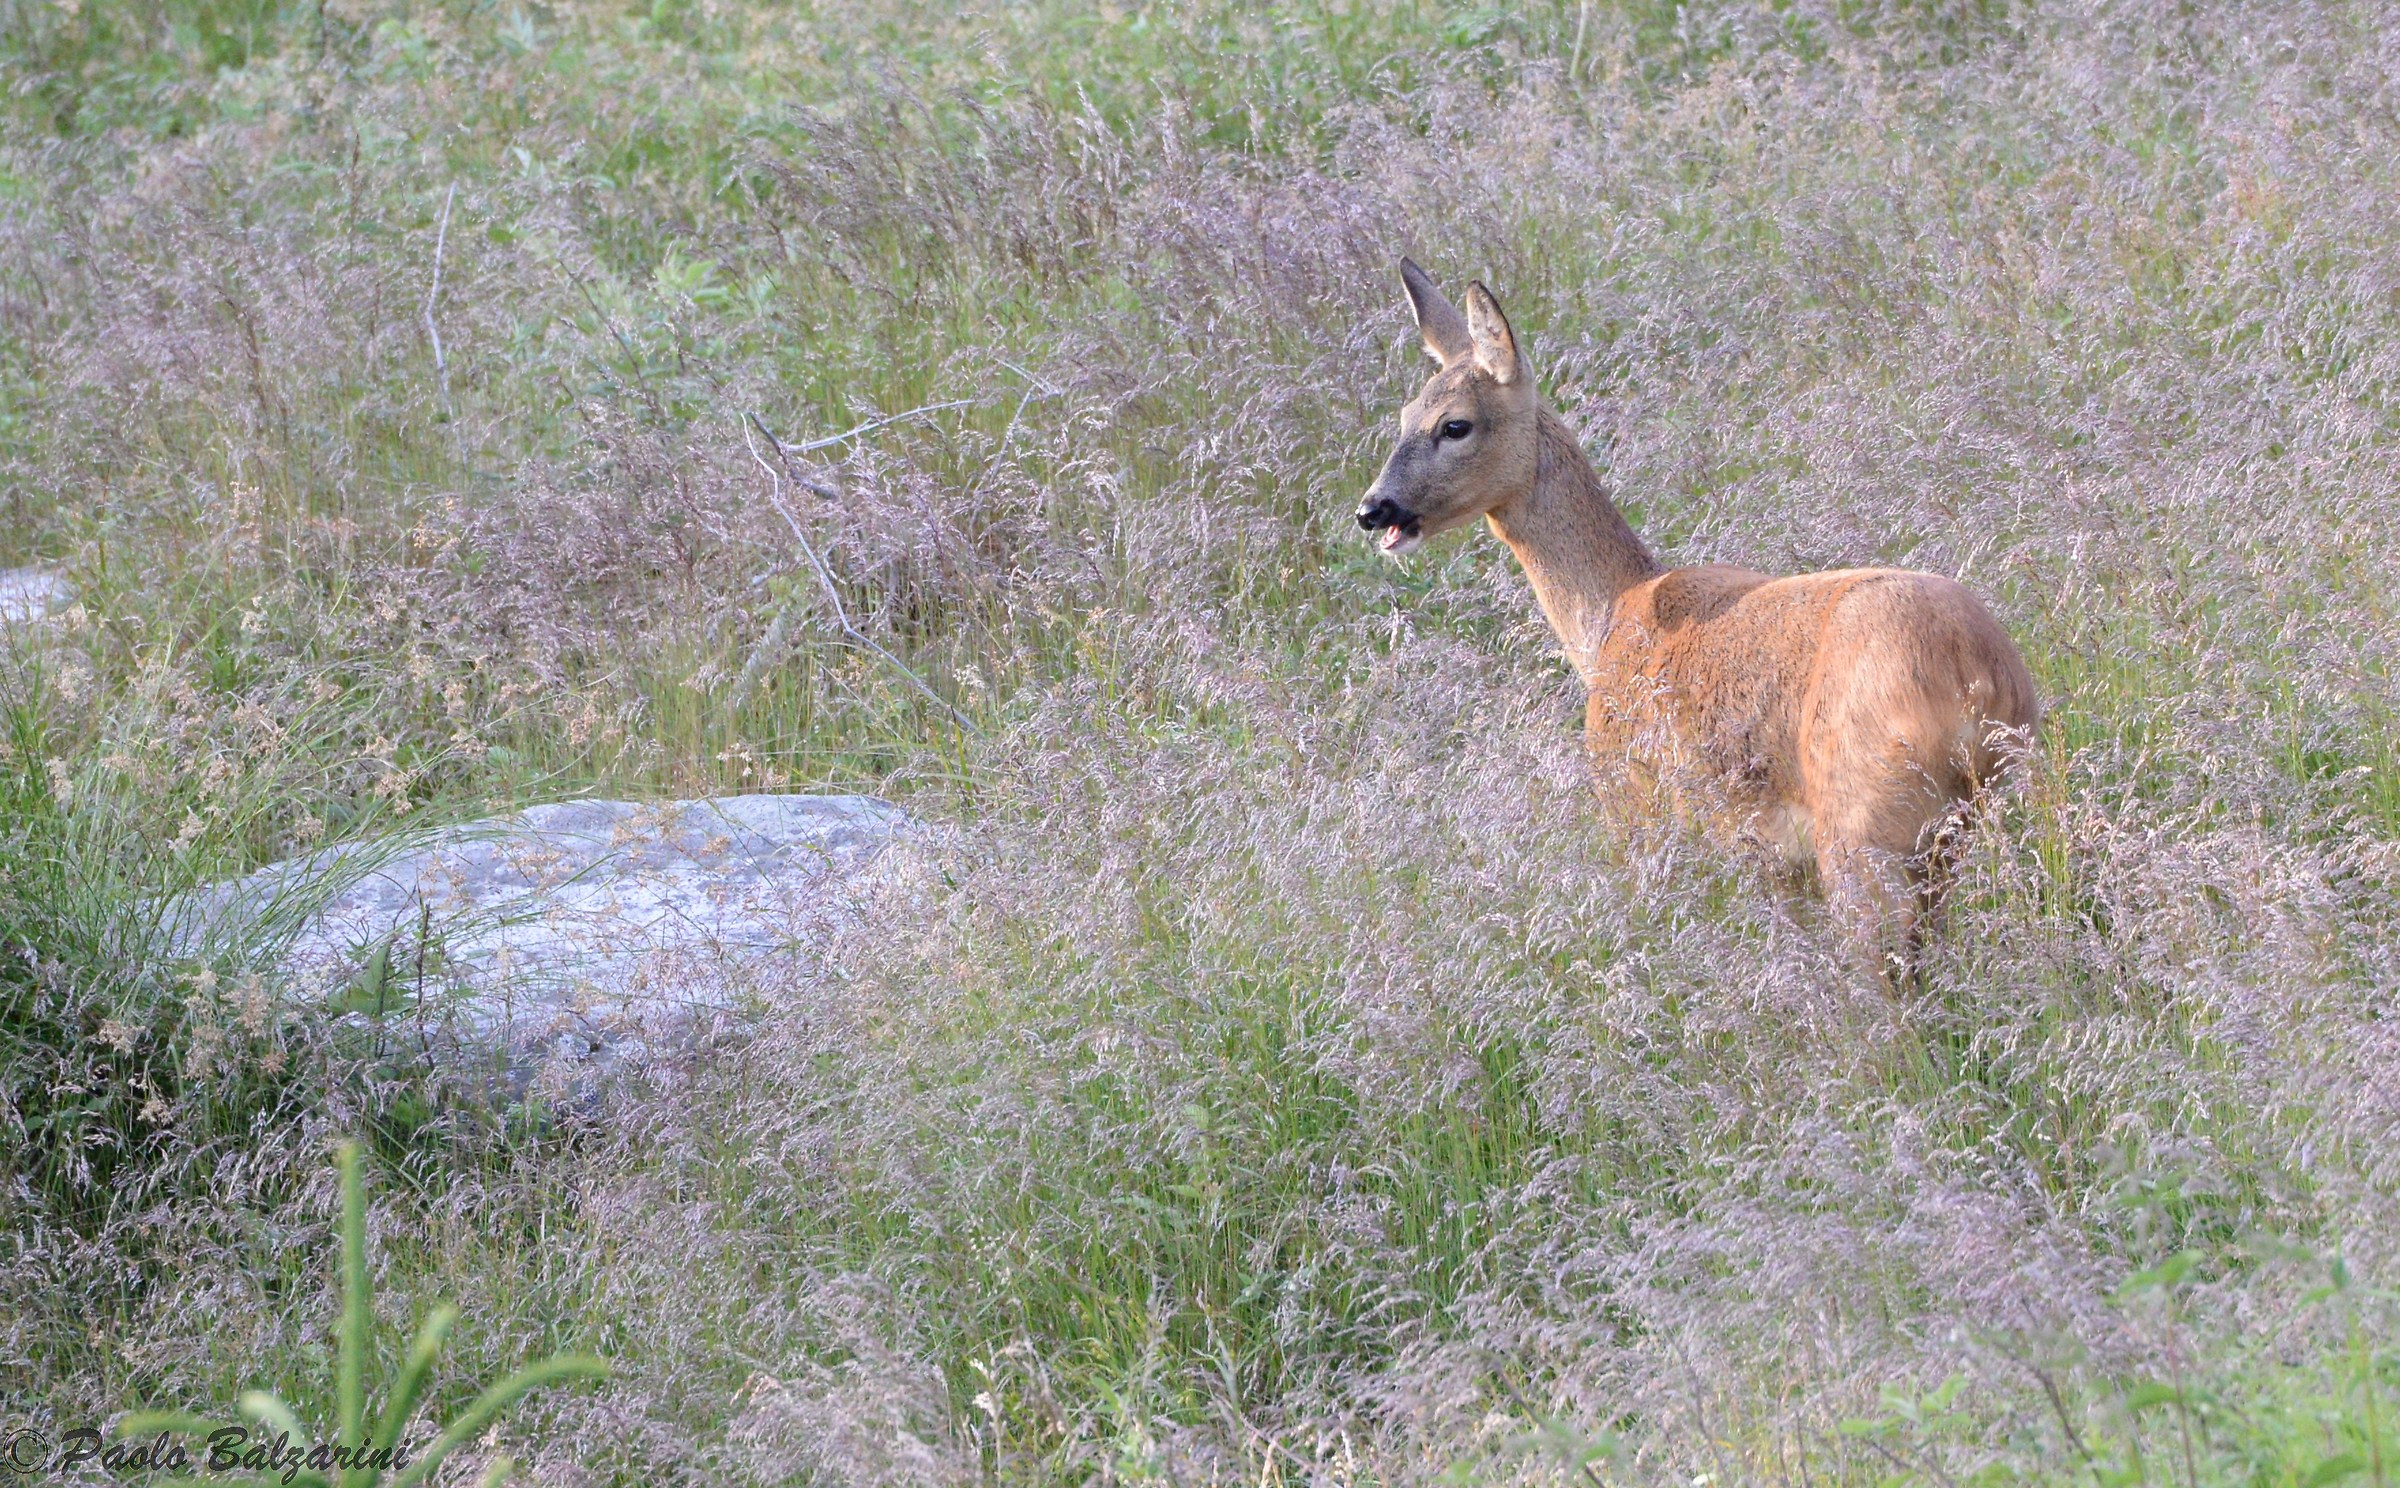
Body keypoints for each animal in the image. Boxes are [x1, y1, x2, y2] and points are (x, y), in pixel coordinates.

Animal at [1355, 260, 2038, 962]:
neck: (1609, 621)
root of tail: (1975, 676)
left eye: (1454, 424)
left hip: (1860, 822)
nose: (1373, 509)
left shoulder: (1638, 804)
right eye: (1405, 412)